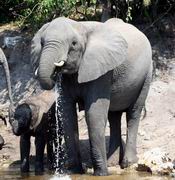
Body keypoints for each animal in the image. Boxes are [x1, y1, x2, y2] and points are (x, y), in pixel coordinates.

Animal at [30, 17, 152, 176]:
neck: (81, 26)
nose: (55, 70)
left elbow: (94, 113)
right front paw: (76, 172)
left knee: (133, 113)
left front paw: (101, 174)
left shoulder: (102, 71)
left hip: (147, 74)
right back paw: (112, 162)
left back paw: (127, 164)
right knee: (113, 116)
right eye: (42, 42)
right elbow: (68, 114)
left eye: (74, 43)